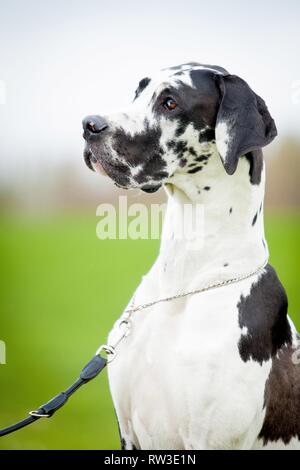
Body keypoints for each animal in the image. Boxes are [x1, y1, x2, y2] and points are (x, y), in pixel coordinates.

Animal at [82, 62, 300, 448]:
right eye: (138, 91)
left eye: (170, 102)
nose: (89, 125)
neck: (183, 281)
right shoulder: (128, 435)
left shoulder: (211, 438)